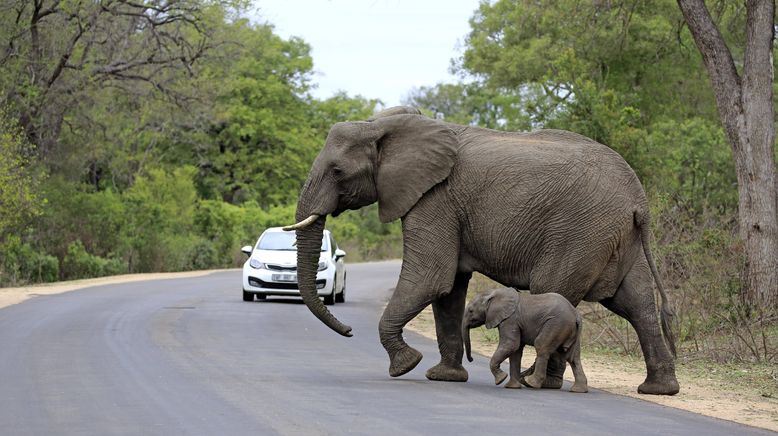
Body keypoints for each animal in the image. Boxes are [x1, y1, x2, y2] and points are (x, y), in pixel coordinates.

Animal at [284, 106, 680, 396]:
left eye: (337, 171)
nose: (349, 330)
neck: (391, 125)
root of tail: (639, 200)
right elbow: (449, 290)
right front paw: (443, 377)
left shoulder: (435, 199)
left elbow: (431, 279)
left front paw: (406, 364)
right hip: (616, 237)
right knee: (637, 305)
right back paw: (659, 390)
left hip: (580, 232)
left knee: (556, 290)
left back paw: (540, 383)